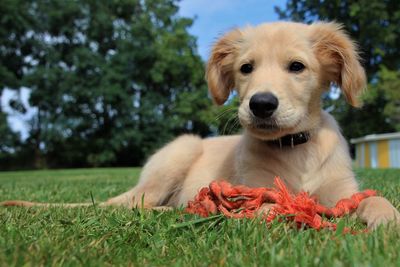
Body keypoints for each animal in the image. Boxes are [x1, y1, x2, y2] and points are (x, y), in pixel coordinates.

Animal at [3, 21, 400, 230]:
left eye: (297, 67)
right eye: (246, 68)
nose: (261, 104)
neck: (294, 148)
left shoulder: (342, 188)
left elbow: (374, 198)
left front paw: (386, 220)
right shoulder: (254, 189)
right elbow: (268, 207)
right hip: (182, 149)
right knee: (137, 204)